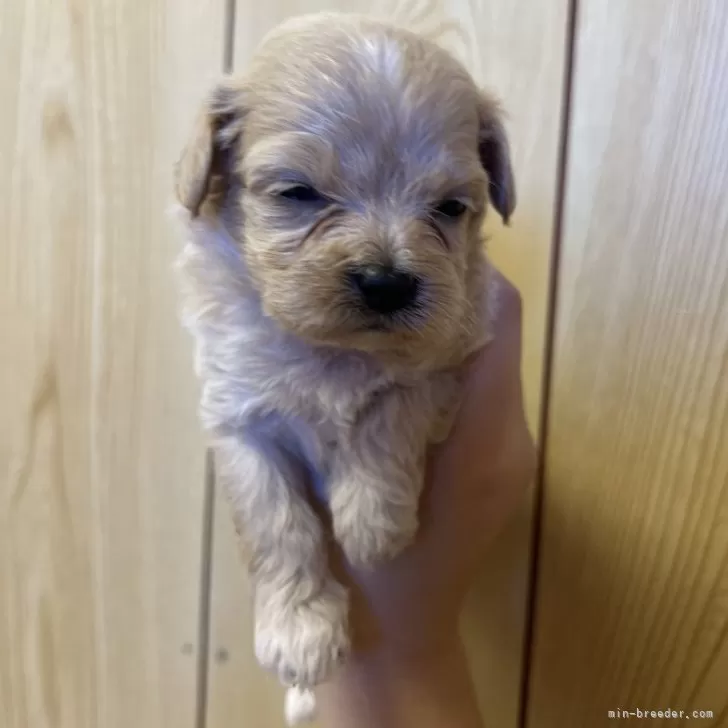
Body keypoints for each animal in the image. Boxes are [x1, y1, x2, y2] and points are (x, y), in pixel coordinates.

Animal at [173, 11, 516, 724]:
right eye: (299, 193)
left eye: (449, 207)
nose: (388, 283)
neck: (332, 349)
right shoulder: (239, 421)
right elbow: (276, 520)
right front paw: (298, 629)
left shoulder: (448, 356)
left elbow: (389, 412)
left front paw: (372, 523)